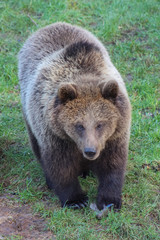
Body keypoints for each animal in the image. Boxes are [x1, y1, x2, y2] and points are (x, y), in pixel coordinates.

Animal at [18, 22, 131, 210]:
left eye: (100, 124)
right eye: (79, 125)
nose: (90, 151)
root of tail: (49, 26)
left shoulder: (115, 135)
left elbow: (112, 165)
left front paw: (109, 201)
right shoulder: (55, 135)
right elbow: (61, 166)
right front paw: (76, 199)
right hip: (29, 111)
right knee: (36, 146)